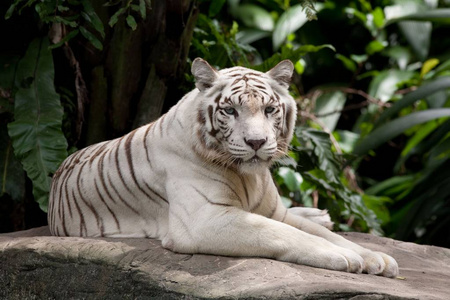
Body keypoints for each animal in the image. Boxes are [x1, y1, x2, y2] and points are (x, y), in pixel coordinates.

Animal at [47, 57, 400, 278]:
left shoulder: (274, 211)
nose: (256, 142)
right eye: (230, 111)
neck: (250, 177)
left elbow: (320, 232)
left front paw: (375, 257)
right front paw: (348, 258)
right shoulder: (204, 219)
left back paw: (321, 215)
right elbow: (285, 235)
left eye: (269, 109)